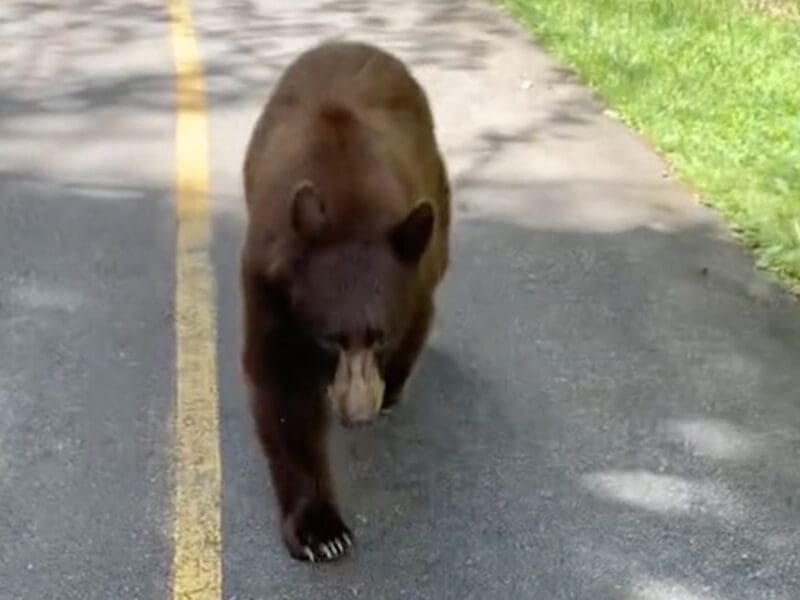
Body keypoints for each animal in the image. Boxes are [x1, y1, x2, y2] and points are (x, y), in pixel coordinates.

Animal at [240, 40, 451, 562]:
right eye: (331, 339)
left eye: (380, 337)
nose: (357, 414)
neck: (349, 202)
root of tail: (353, 43)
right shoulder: (270, 281)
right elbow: (283, 387)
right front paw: (322, 531)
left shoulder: (417, 271)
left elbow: (418, 319)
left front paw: (387, 387)